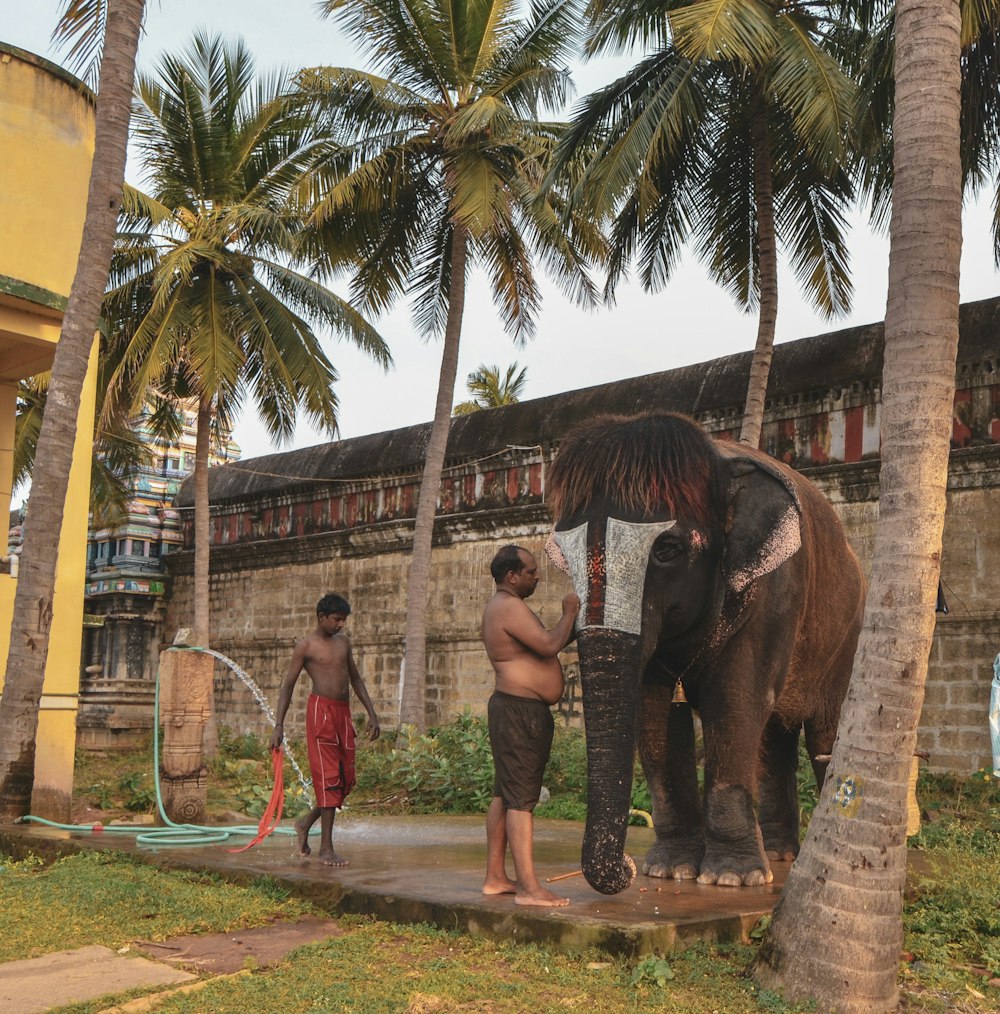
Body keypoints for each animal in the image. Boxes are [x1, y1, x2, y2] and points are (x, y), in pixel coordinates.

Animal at [543, 411, 860, 896]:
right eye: (564, 558)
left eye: (668, 550)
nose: (628, 868)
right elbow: (653, 709)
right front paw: (669, 871)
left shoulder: (776, 588)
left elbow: (735, 701)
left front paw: (732, 878)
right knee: (774, 737)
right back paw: (778, 854)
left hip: (849, 632)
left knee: (824, 733)